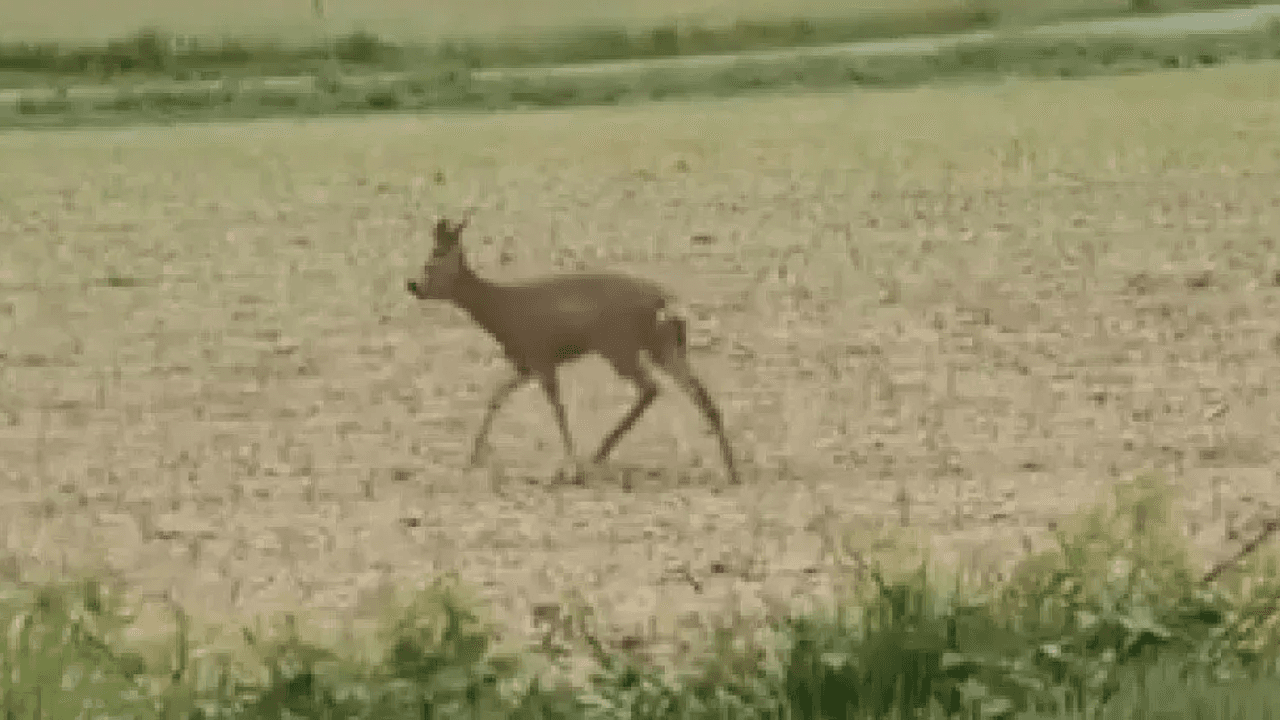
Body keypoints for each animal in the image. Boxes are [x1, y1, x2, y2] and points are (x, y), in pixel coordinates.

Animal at [406, 212, 740, 486]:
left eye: (431, 262)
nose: (413, 285)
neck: (503, 313)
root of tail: (664, 301)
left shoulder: (541, 356)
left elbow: (558, 408)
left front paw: (571, 468)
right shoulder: (525, 363)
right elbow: (496, 397)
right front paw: (473, 458)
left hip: (619, 344)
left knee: (651, 387)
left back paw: (599, 454)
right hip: (664, 344)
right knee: (699, 394)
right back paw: (731, 470)